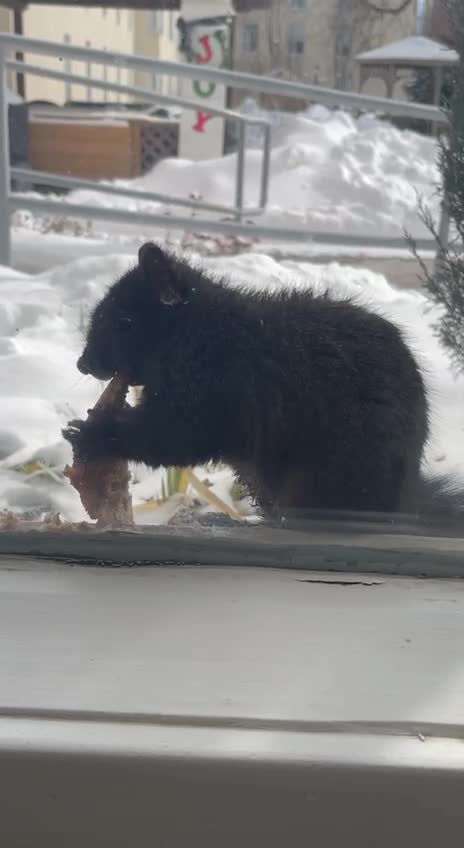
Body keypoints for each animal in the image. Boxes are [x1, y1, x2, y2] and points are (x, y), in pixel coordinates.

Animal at [63, 242, 463, 519]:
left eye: (125, 323)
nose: (82, 364)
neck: (197, 331)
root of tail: (404, 498)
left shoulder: (216, 389)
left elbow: (172, 435)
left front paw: (92, 432)